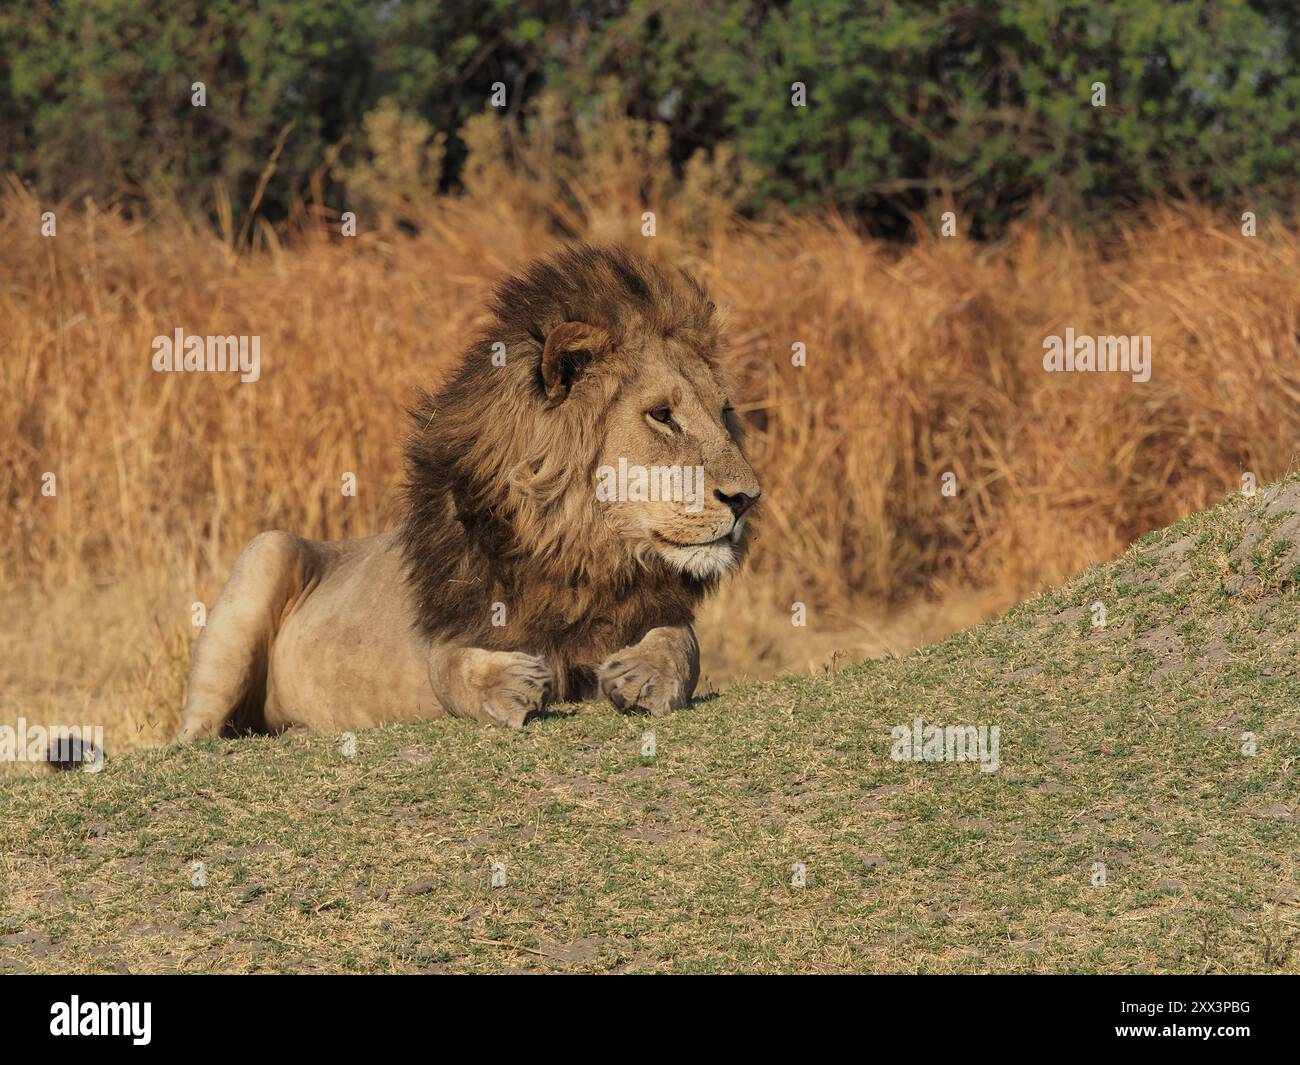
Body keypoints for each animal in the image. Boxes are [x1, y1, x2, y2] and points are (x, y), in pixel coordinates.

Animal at [174, 243, 759, 743]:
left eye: (724, 411)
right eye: (662, 415)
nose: (747, 498)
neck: (577, 546)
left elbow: (682, 643)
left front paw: (645, 675)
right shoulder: (453, 626)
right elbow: (448, 665)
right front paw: (508, 686)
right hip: (265, 552)